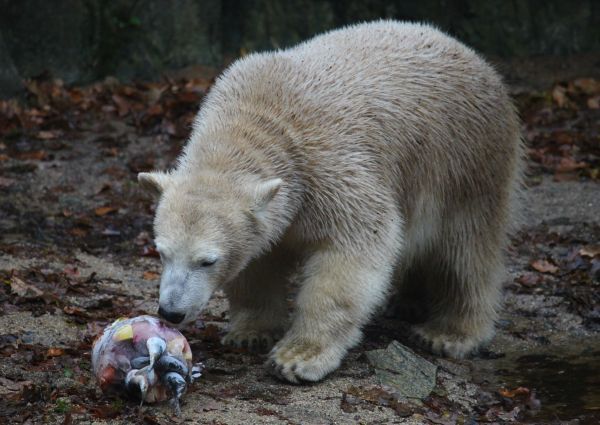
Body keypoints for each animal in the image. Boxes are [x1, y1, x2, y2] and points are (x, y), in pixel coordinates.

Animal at [138, 20, 524, 380]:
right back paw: (408, 303)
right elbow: (257, 262)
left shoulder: (331, 171)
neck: (260, 120)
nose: (171, 311)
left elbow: (353, 252)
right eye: (162, 252)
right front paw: (250, 332)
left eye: (207, 261)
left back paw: (449, 333)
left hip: (466, 160)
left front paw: (298, 356)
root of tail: (468, 52)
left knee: (465, 249)